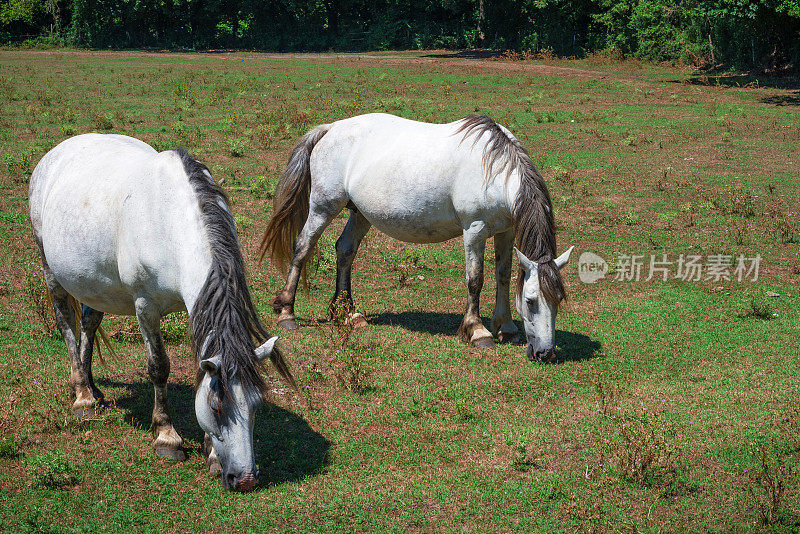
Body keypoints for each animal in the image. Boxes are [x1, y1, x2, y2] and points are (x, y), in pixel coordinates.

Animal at [28, 135, 298, 494]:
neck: (169, 221)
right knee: (66, 325)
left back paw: (92, 388)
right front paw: (167, 437)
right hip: (50, 270)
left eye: (256, 405)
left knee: (89, 322)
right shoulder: (146, 306)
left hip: (93, 282)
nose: (245, 480)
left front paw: (212, 454)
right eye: (216, 407)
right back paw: (82, 396)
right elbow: (159, 367)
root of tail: (55, 153)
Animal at [260, 113, 572, 364]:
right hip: (323, 207)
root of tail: (331, 128)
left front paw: (505, 326)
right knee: (302, 247)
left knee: (345, 250)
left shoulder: (505, 231)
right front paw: (477, 330)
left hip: (360, 213)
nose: (545, 354)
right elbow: (476, 279)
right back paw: (287, 312)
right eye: (531, 301)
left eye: (557, 300)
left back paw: (347, 313)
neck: (494, 169)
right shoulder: (475, 230)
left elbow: (503, 276)